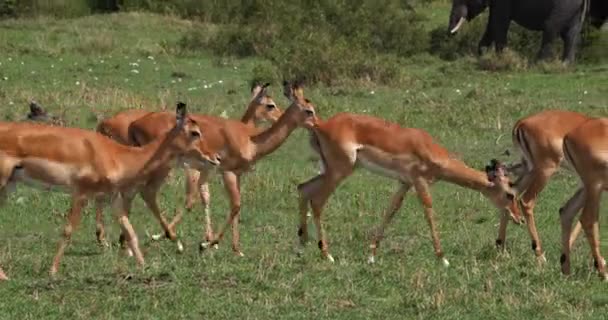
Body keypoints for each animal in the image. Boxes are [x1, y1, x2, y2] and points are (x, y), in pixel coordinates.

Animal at [446, 0, 604, 63]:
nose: (450, 34)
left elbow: (499, 23)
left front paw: (500, 58)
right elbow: (492, 24)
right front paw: (482, 55)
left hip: (563, 6)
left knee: (550, 28)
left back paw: (537, 64)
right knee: (571, 35)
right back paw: (565, 65)